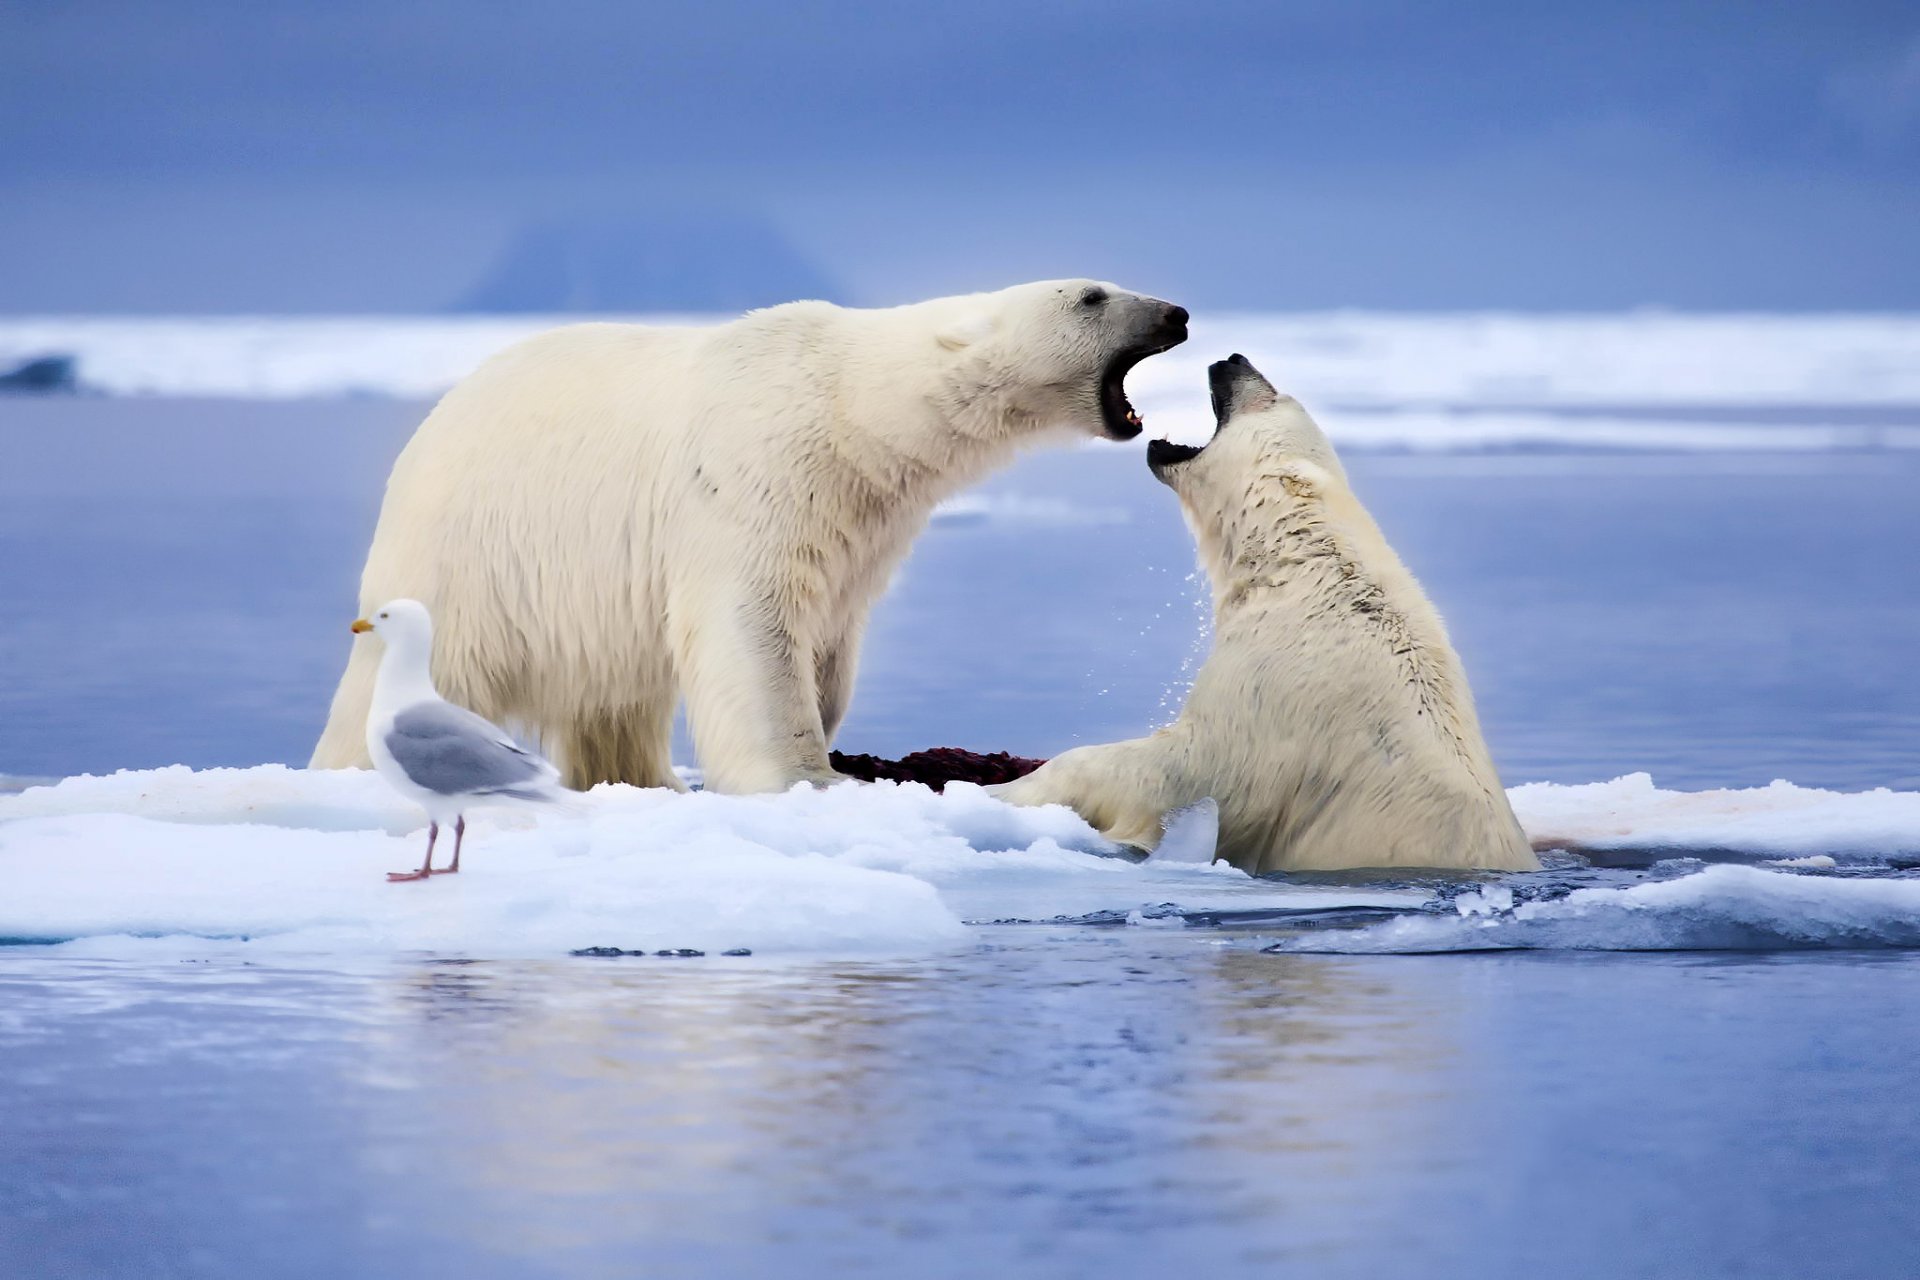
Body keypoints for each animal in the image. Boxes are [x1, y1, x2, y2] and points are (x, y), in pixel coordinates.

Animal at [310, 281, 1189, 794]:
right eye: (1092, 295)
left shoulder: (861, 524)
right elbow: (752, 630)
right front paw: (806, 776)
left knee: (617, 700)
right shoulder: (754, 480)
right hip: (469, 555)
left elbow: (831, 639)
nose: (1178, 311)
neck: (850, 410)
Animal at [992, 354, 1537, 875]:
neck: (1305, 564)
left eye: (1273, 396)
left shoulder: (1272, 690)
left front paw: (1005, 790)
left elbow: (1184, 768)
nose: (1234, 359)